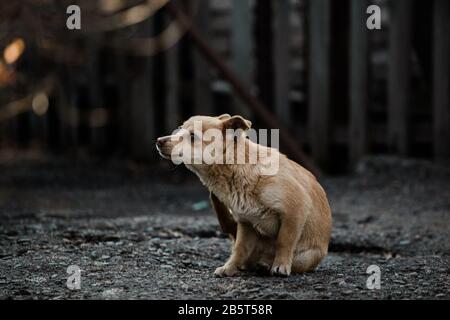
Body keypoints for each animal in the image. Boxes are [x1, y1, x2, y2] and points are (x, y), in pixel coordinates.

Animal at [156, 114, 332, 276]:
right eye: (179, 128)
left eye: (193, 136)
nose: (158, 140)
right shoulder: (246, 223)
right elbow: (240, 249)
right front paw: (228, 268)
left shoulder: (296, 209)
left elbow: (284, 240)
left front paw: (280, 265)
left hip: (306, 257)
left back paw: (268, 264)